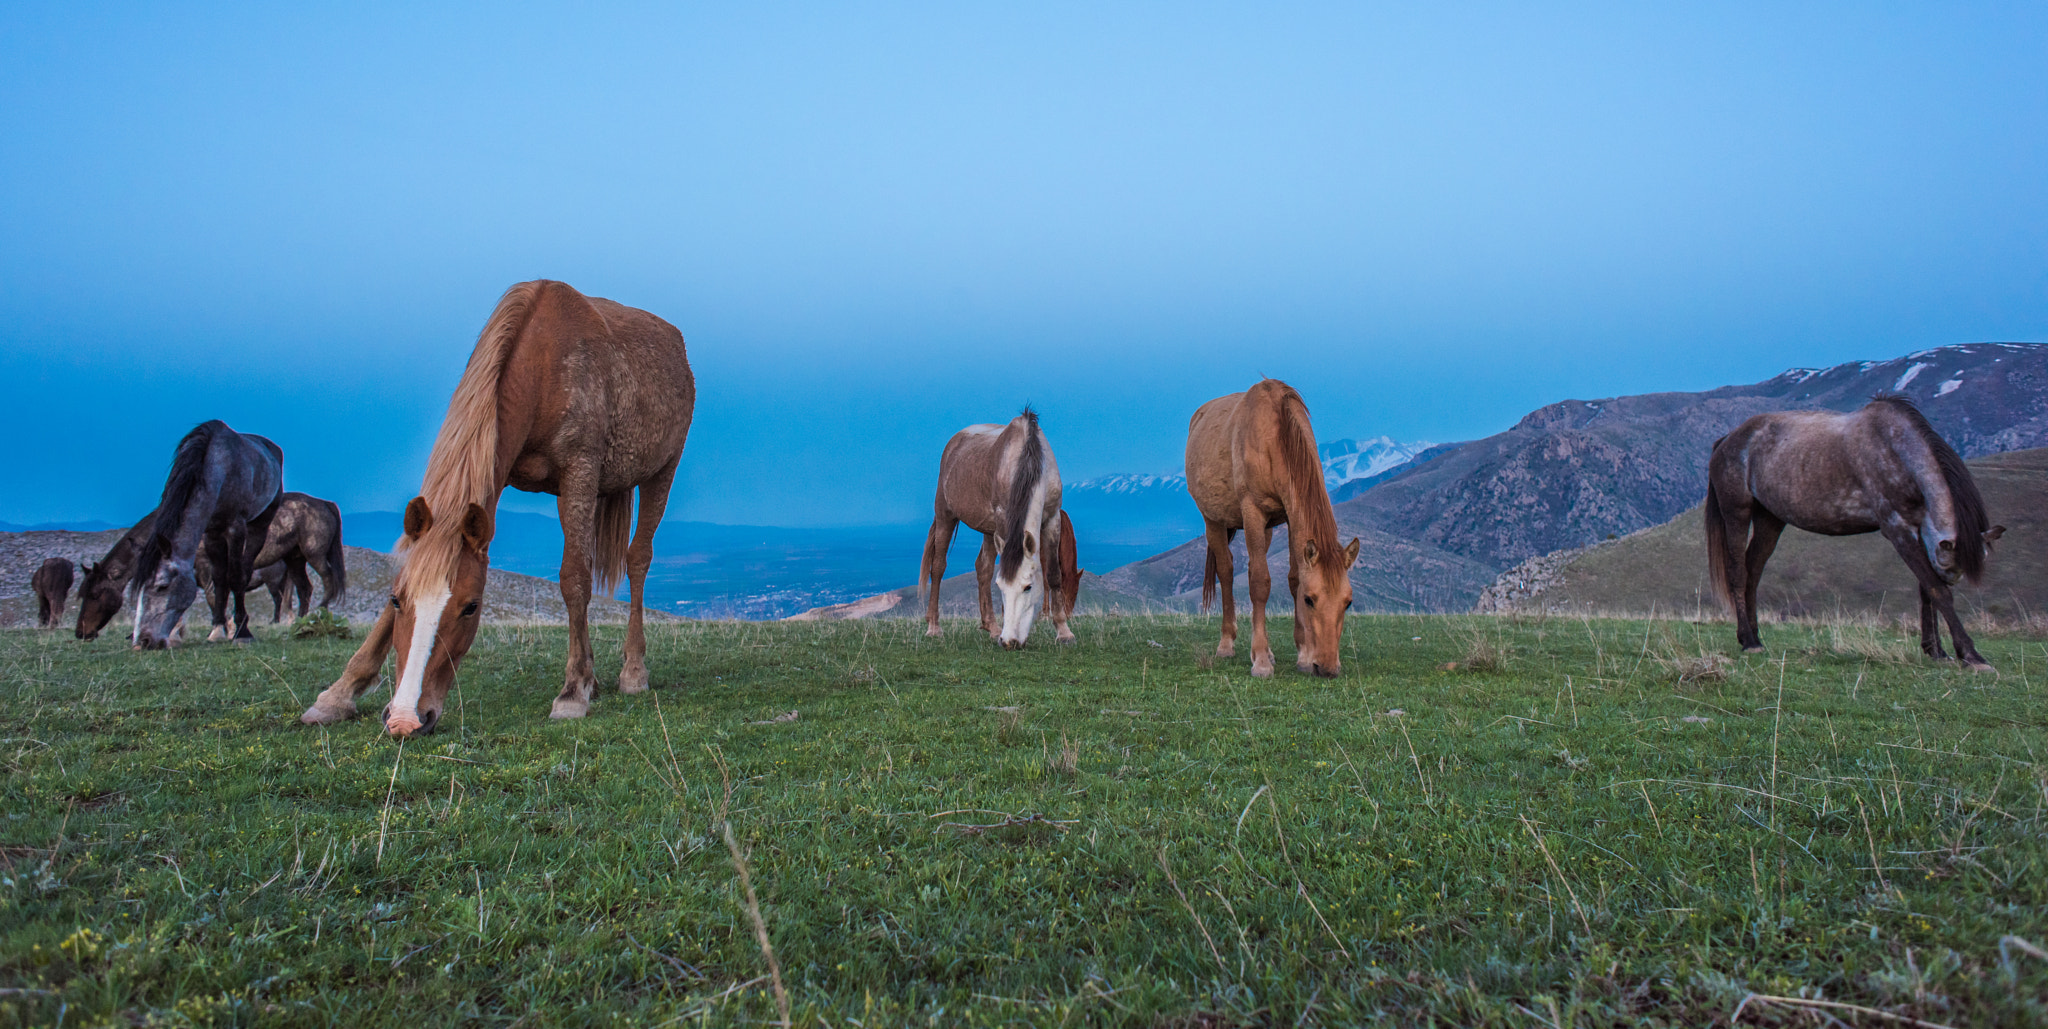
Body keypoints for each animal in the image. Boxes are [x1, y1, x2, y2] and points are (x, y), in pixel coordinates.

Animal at [132, 420, 282, 647]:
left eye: (162, 586)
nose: (142, 641)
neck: (219, 468)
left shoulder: (235, 528)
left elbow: (235, 577)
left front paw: (242, 632)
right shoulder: (211, 533)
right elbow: (219, 579)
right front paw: (217, 630)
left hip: (260, 526)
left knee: (246, 570)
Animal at [299, 276, 696, 733]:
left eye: (471, 607)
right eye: (398, 600)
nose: (406, 719)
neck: (542, 366)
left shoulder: (579, 472)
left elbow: (574, 578)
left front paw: (572, 692)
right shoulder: (498, 470)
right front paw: (338, 694)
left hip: (661, 472)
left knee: (638, 559)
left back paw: (632, 672)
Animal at [917, 407, 1073, 643]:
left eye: (1028, 587)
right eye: (1001, 588)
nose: (1009, 641)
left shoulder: (1052, 519)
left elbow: (1054, 574)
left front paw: (1064, 632)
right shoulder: (1004, 521)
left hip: (989, 530)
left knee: (983, 568)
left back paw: (990, 626)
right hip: (945, 516)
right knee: (938, 567)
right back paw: (934, 626)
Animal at [1187, 377, 1359, 676]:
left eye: (1347, 603)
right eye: (1310, 600)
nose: (1326, 668)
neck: (1274, 437)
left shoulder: (1290, 517)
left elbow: (1293, 578)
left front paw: (1302, 655)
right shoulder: (1252, 512)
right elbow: (1260, 582)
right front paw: (1261, 663)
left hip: (1265, 529)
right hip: (1214, 521)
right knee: (1226, 571)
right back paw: (1227, 645)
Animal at [1703, 393, 2007, 668]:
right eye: (1950, 566)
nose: (1951, 577)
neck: (1894, 450)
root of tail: (1728, 439)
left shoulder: (1922, 531)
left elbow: (1926, 589)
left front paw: (1936, 650)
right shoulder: (1897, 529)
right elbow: (1937, 589)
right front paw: (1971, 655)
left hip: (1770, 518)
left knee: (1753, 571)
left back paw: (1753, 637)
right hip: (1737, 512)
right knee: (1738, 573)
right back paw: (1749, 641)